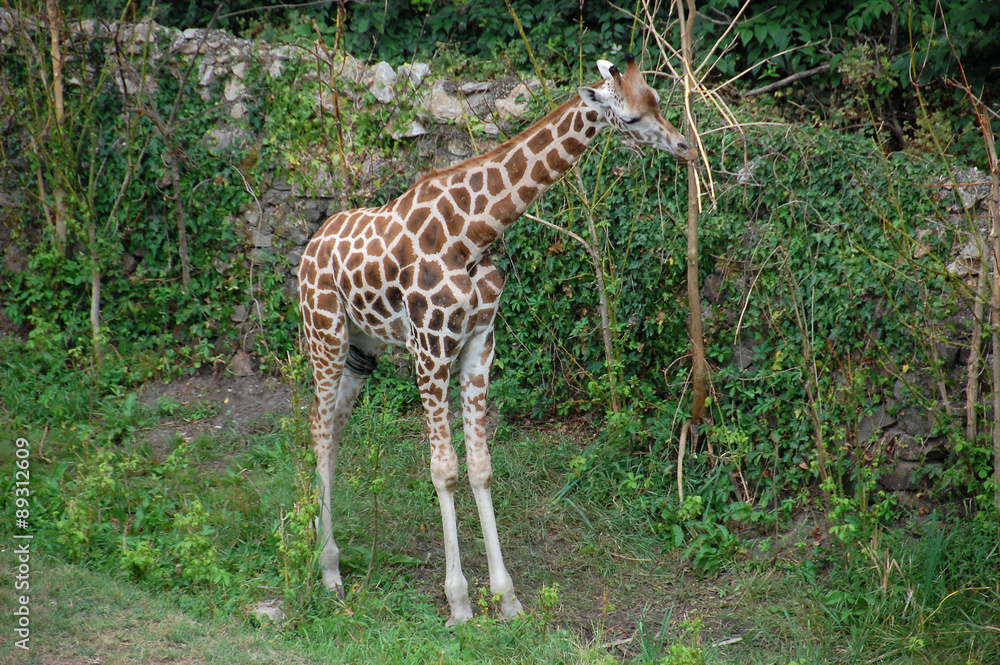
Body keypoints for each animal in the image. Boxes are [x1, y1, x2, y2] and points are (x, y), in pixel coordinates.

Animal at [297, 53, 697, 626]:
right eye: (633, 117)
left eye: (659, 101)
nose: (685, 146)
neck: (471, 234)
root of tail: (311, 246)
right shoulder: (430, 348)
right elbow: (444, 469)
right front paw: (460, 603)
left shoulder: (478, 345)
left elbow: (481, 466)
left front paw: (506, 599)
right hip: (324, 333)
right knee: (319, 426)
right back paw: (330, 572)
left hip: (362, 348)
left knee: (331, 427)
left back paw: (321, 550)